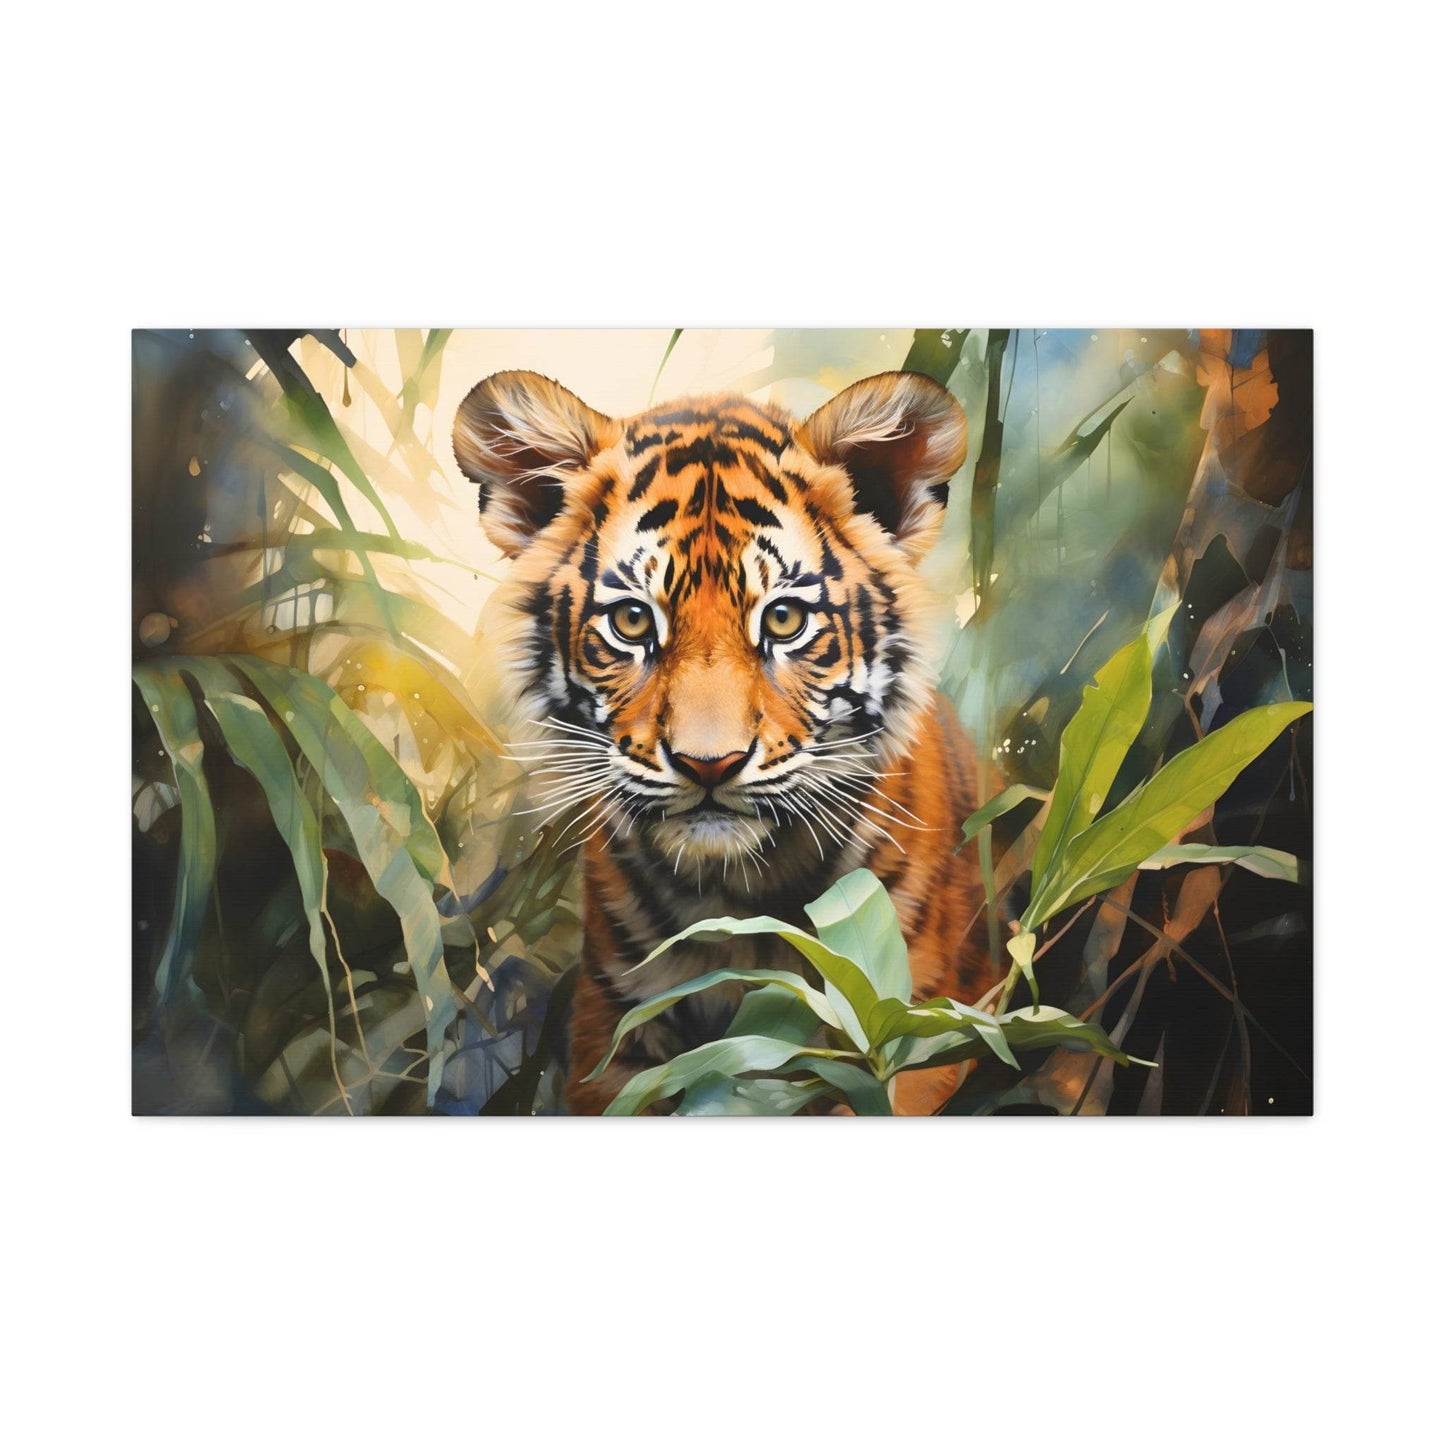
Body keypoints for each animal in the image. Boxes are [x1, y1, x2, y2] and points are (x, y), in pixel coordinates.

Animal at [453, 367, 992, 1115]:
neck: (738, 898)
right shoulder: (611, 1033)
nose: (709, 764)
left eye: (785, 618)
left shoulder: (919, 1032)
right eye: (630, 621)